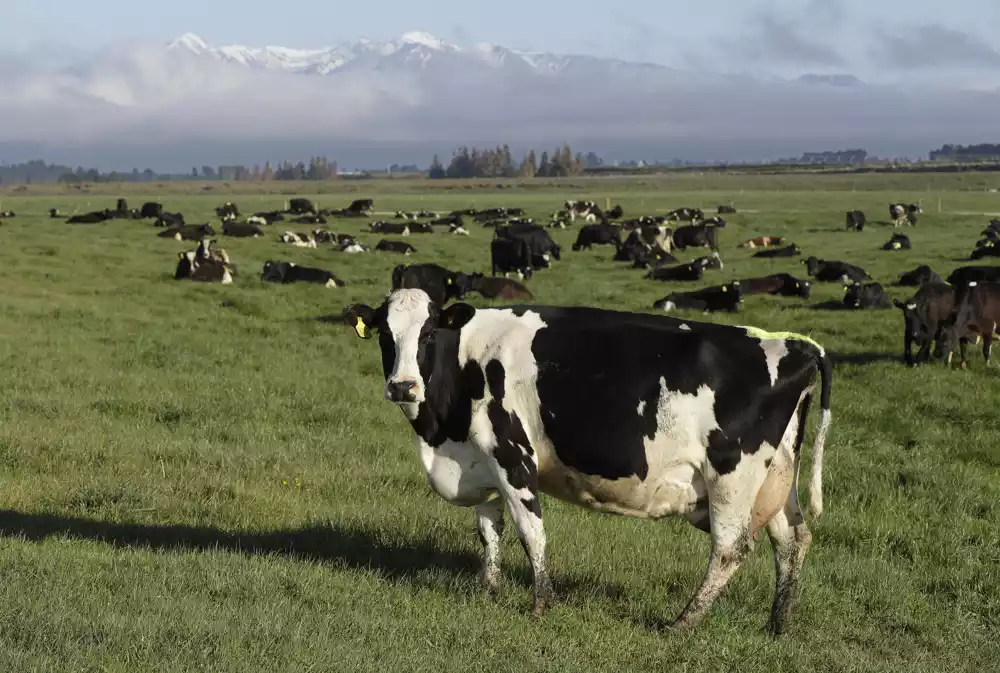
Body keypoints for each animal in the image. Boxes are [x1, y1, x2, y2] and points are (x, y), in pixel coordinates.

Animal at [340, 290, 832, 636]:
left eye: (427, 334)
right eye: (385, 335)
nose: (402, 386)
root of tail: (795, 344)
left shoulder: (512, 454)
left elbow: (530, 532)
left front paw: (540, 604)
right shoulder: (479, 460)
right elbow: (489, 529)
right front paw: (489, 590)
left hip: (732, 473)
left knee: (731, 548)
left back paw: (682, 623)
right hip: (776, 478)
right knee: (793, 539)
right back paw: (778, 623)